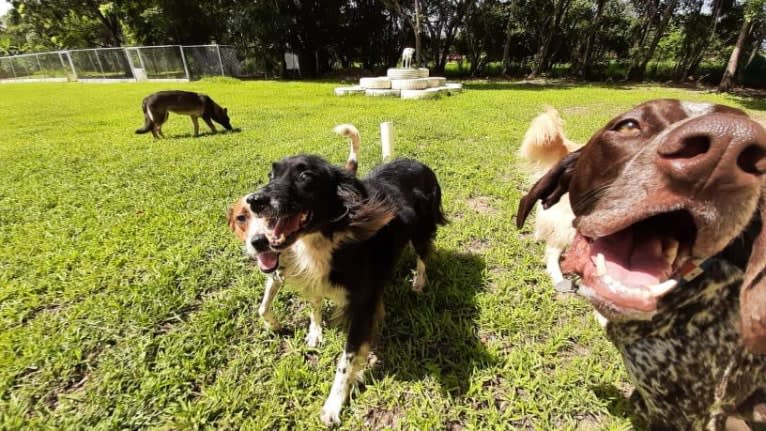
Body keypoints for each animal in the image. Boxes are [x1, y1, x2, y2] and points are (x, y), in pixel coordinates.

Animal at [243, 152, 448, 426]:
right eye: (271, 175)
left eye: (305, 176)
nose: (254, 201)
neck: (325, 237)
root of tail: (417, 163)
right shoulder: (319, 279)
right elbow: (315, 303)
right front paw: (315, 332)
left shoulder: (362, 304)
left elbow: (347, 358)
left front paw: (334, 404)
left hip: (422, 229)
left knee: (424, 255)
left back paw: (418, 283)